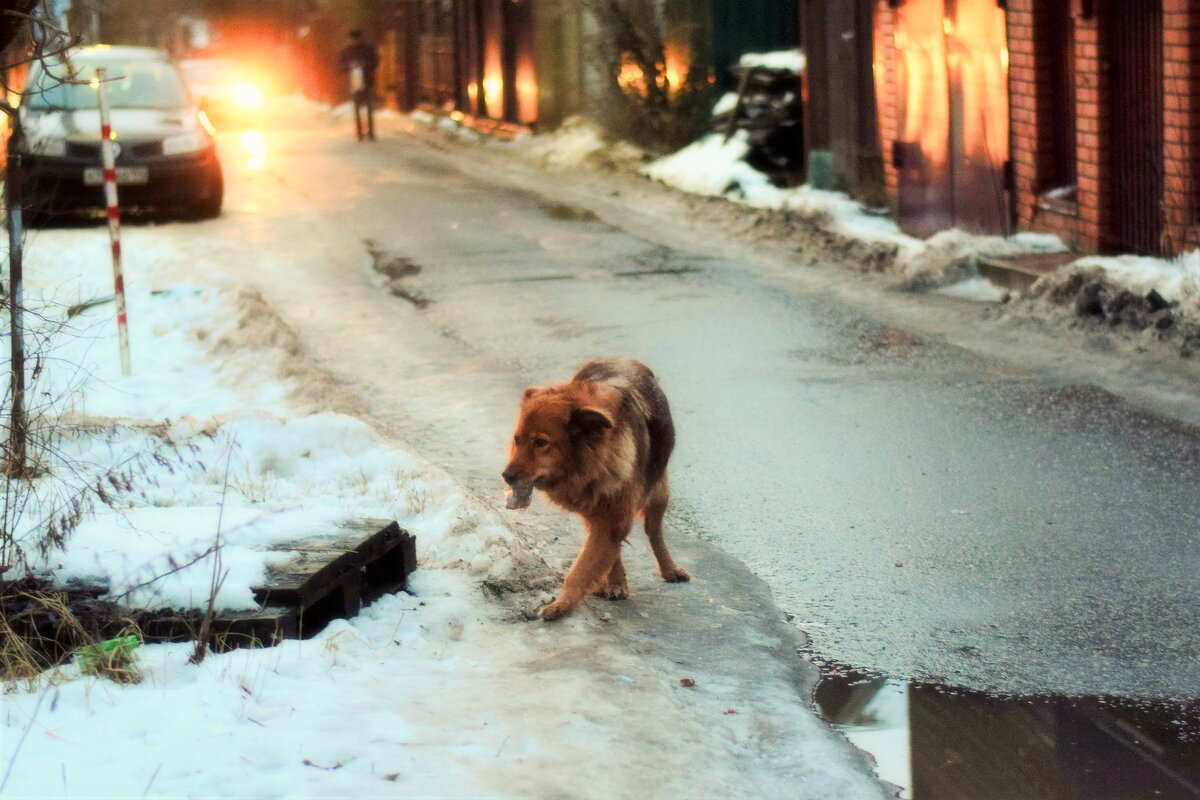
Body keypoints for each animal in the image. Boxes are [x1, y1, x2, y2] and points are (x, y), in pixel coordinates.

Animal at [501, 359, 691, 623]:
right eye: (517, 440)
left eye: (541, 442)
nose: (506, 476)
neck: (592, 462)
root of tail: (627, 361)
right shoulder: (601, 516)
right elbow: (599, 556)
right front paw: (603, 584)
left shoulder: (613, 517)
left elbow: (582, 569)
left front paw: (562, 604)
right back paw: (615, 581)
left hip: (659, 494)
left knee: (654, 533)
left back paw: (669, 568)